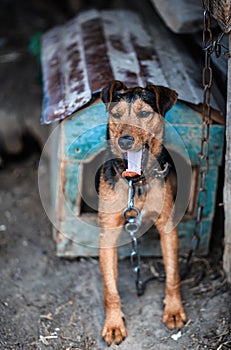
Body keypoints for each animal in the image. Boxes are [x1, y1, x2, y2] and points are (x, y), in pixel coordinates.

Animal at [98, 81, 187, 344]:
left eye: (145, 114)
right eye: (116, 115)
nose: (126, 141)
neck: (135, 183)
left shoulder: (167, 226)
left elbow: (173, 275)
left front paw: (174, 310)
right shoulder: (107, 233)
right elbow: (110, 288)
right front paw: (114, 324)